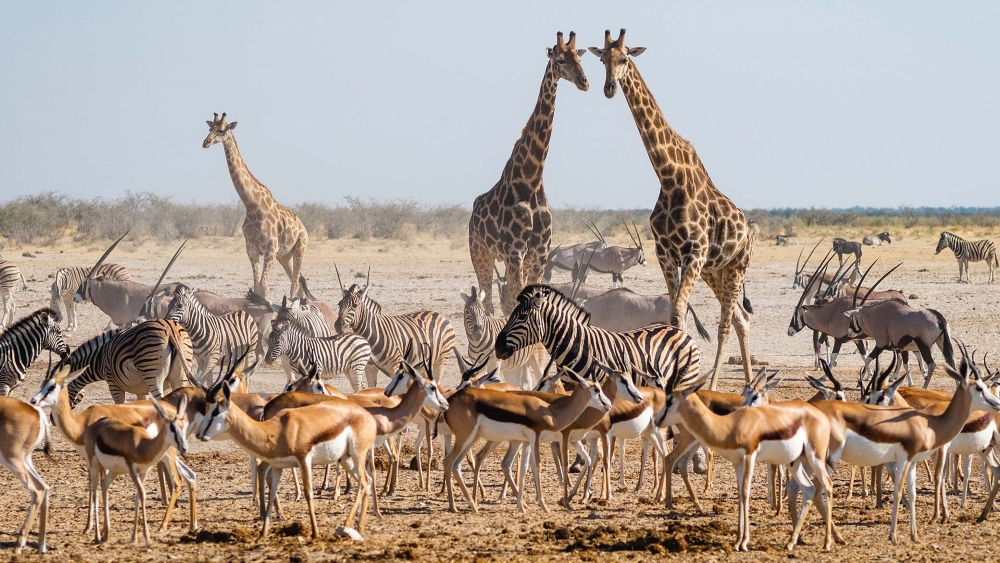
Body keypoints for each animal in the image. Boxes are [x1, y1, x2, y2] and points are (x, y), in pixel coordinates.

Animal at [58, 320, 195, 408]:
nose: (54, 420)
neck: (99, 359)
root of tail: (169, 328)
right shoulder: (142, 390)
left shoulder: (113, 384)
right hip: (180, 376)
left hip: (153, 375)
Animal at [197, 112, 302, 302]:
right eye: (210, 129)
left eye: (222, 130)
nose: (205, 142)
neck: (253, 206)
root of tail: (302, 226)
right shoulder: (252, 250)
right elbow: (257, 287)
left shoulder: (270, 249)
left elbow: (264, 287)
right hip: (284, 255)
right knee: (297, 283)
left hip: (300, 248)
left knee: (295, 284)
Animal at [466, 32, 584, 318]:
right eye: (560, 59)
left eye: (579, 58)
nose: (583, 82)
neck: (530, 180)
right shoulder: (515, 251)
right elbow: (512, 302)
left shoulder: (539, 253)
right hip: (480, 252)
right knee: (488, 301)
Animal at [588, 30, 752, 390]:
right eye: (602, 59)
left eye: (625, 58)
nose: (609, 87)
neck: (668, 176)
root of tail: (749, 230)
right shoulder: (666, 253)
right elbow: (675, 314)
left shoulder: (693, 253)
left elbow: (678, 312)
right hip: (715, 271)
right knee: (741, 319)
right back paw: (749, 384)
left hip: (735, 266)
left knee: (727, 322)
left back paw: (715, 385)